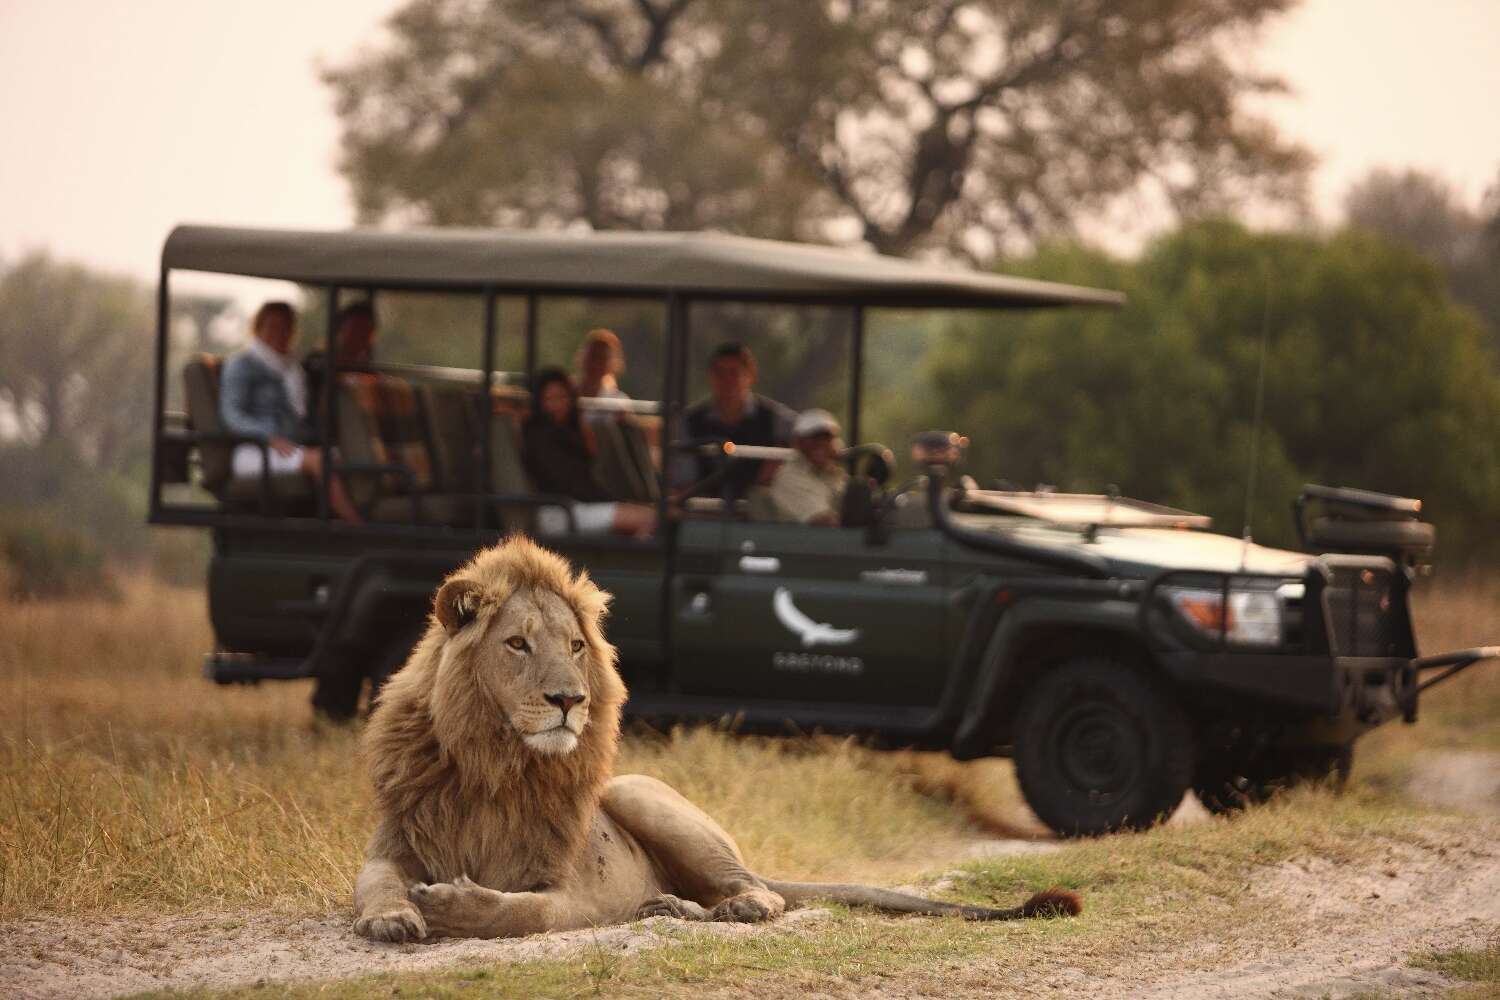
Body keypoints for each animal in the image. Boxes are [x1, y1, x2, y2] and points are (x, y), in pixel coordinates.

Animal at [351, 536, 1080, 941]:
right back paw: (669, 906)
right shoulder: (395, 842)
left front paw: (453, 907)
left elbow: (522, 913)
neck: (495, 765)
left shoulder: (573, 895)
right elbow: (374, 881)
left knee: (763, 892)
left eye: (576, 647)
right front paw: (391, 916)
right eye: (517, 644)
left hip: (643, 794)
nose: (570, 701)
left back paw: (714, 908)